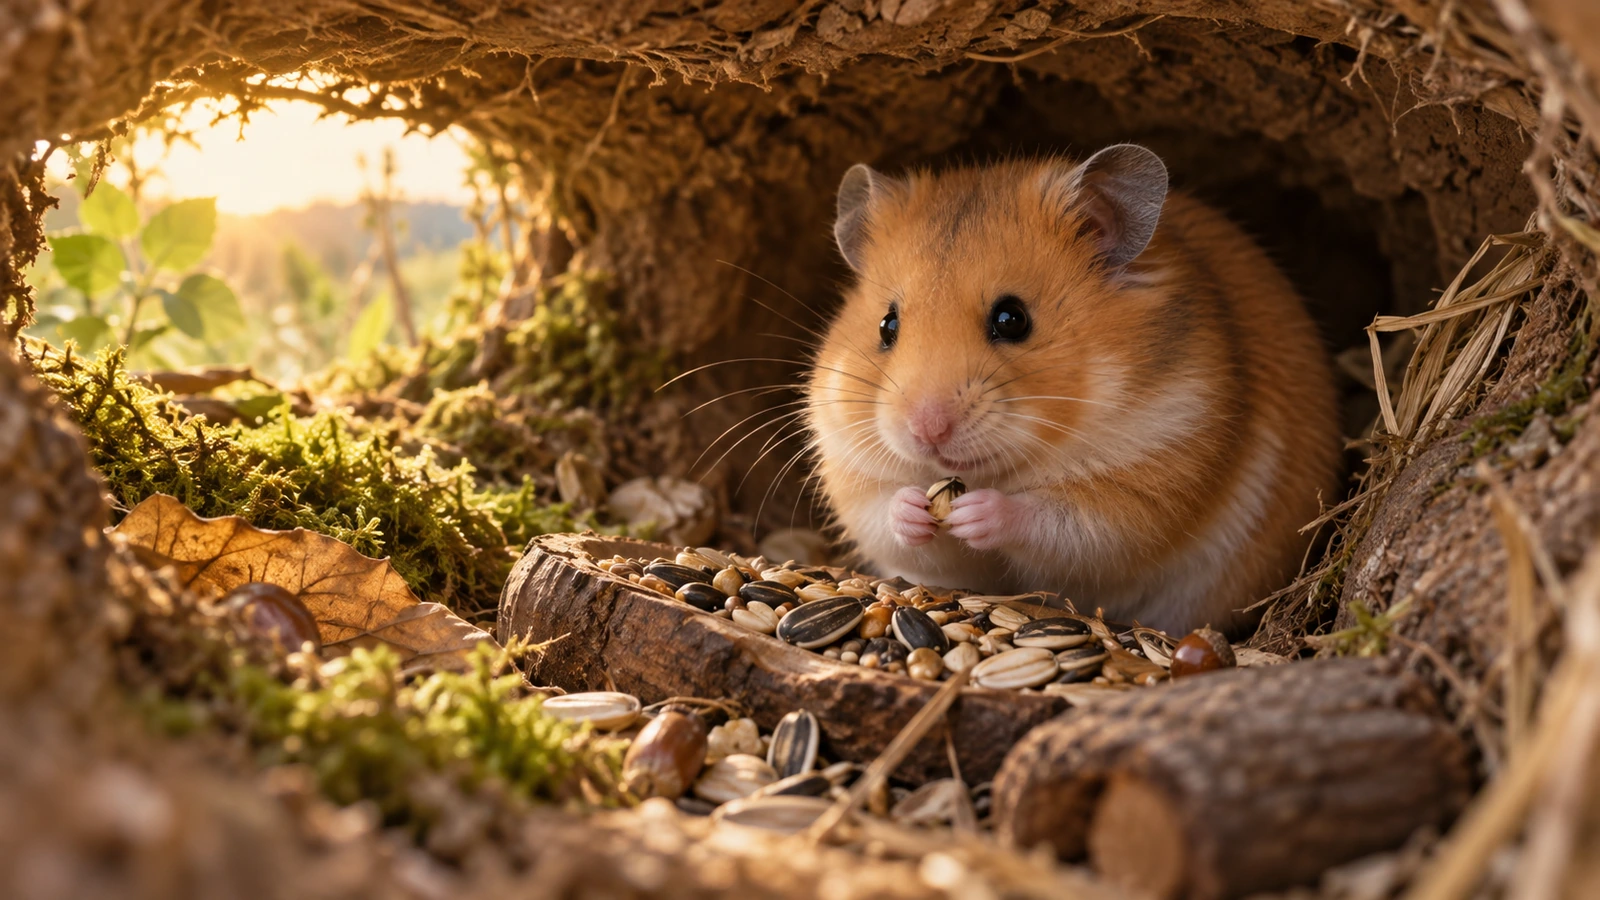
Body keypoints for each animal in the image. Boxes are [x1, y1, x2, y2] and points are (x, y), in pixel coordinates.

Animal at [803, 145, 1341, 637]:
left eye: (1012, 319)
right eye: (886, 326)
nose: (927, 431)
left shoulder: (1153, 474)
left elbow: (1058, 521)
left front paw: (979, 511)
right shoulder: (851, 473)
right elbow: (892, 520)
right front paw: (915, 507)